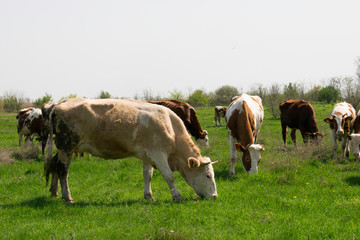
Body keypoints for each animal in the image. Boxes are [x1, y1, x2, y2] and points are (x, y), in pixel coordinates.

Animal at [44, 98, 217, 203]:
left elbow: (148, 176)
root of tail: (59, 103)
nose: (215, 196)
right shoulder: (159, 154)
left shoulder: (147, 155)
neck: (171, 128)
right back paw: (67, 196)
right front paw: (177, 196)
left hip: (63, 149)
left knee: (54, 165)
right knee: (63, 170)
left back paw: (54, 191)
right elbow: (169, 177)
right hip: (66, 147)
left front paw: (149, 196)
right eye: (208, 175)